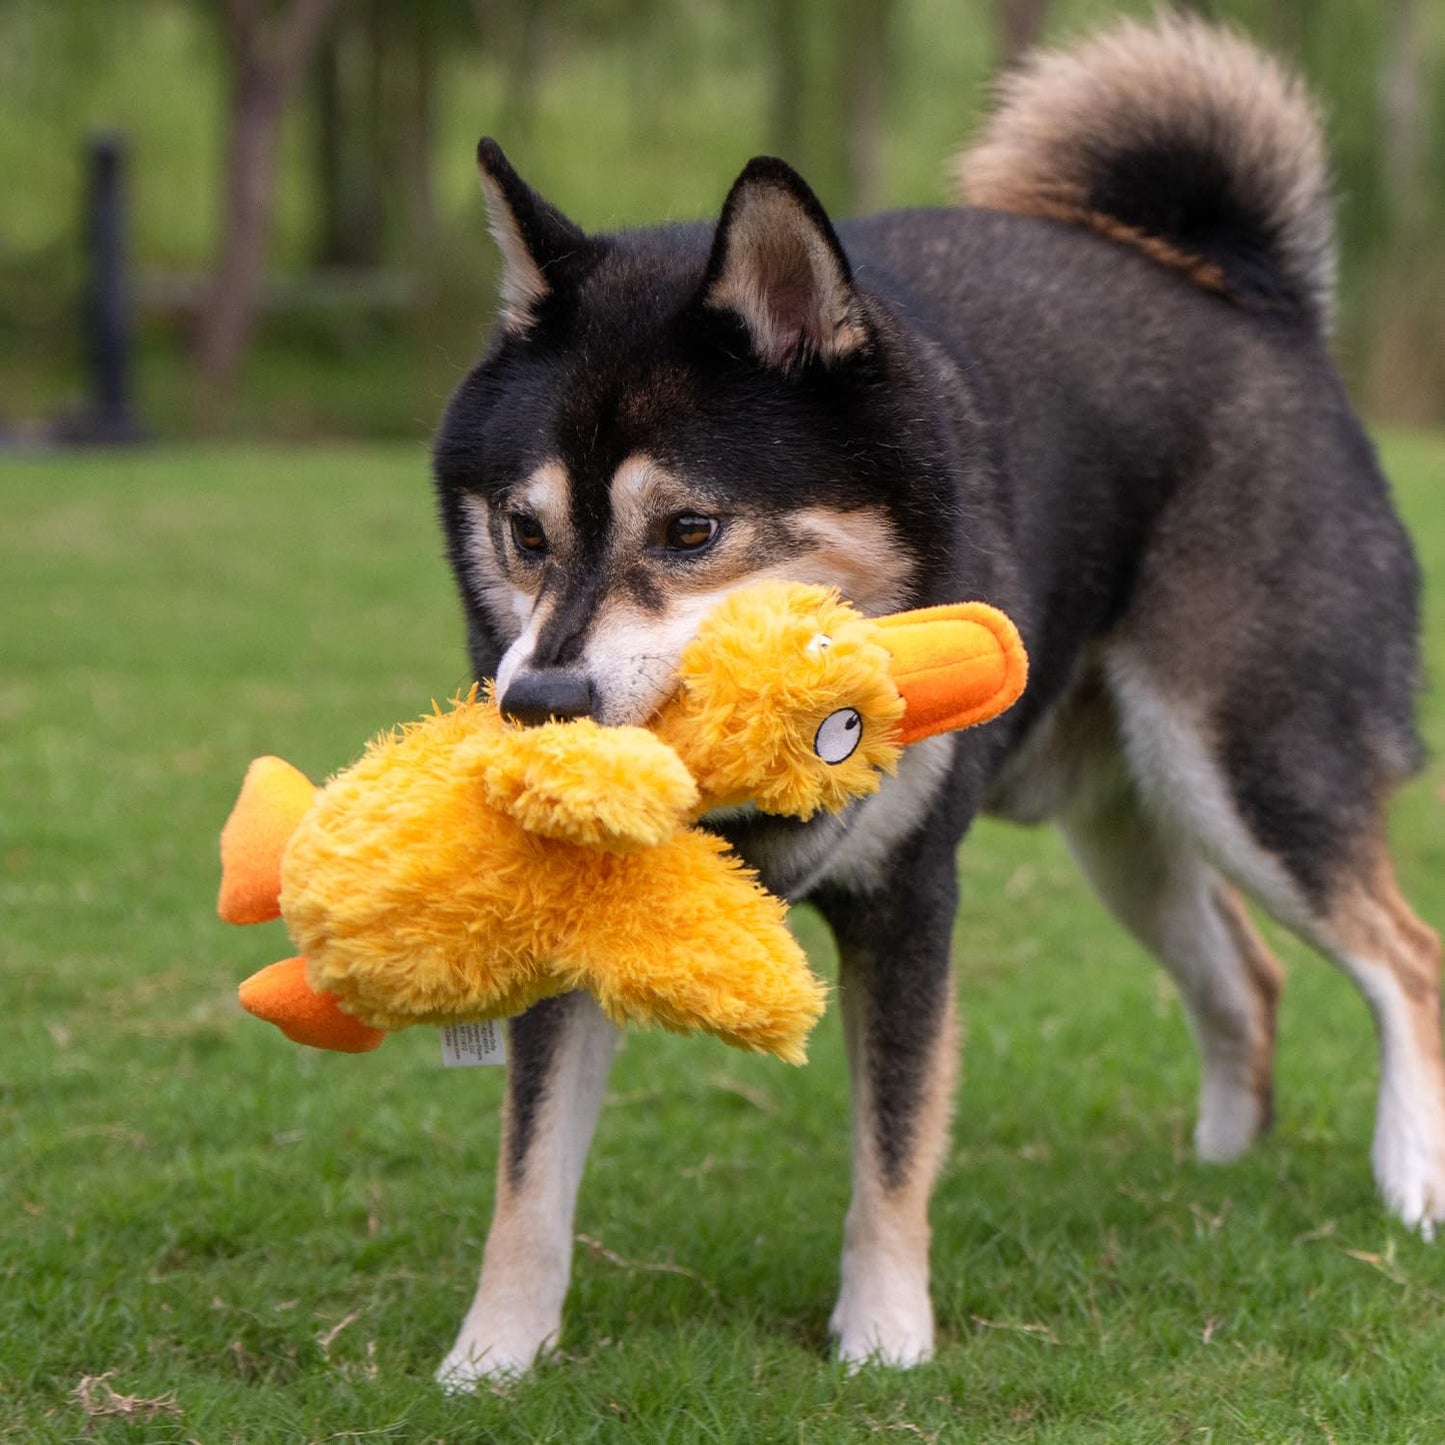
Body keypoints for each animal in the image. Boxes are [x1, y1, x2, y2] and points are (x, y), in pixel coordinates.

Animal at [421, 14, 1439, 1387]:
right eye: (526, 533)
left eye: (690, 530)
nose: (539, 702)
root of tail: (1246, 296)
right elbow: (528, 1174)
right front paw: (492, 1356)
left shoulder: (910, 900)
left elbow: (892, 1141)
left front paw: (885, 1334)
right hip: (1133, 821)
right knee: (1247, 977)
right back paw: (1217, 1175)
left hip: (1249, 767)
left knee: (1403, 957)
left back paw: (1409, 1177)